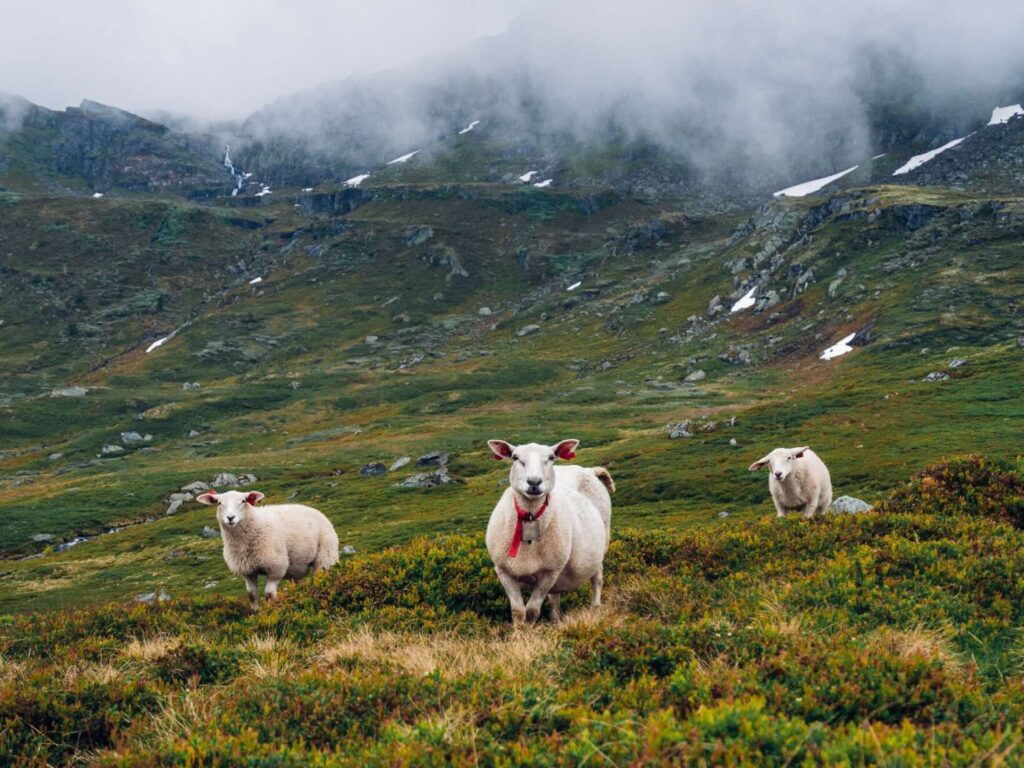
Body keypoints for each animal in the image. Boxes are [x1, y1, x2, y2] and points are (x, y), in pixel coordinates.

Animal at [197, 489, 342, 610]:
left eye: (243, 501)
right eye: (219, 503)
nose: (230, 518)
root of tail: (316, 510)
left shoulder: (275, 568)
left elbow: (269, 595)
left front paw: (271, 611)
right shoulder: (247, 571)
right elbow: (252, 595)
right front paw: (256, 614)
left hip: (325, 557)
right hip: (297, 567)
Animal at [483, 438, 610, 626]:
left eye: (551, 457)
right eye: (515, 457)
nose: (534, 482)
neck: (529, 516)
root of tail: (588, 470)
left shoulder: (550, 572)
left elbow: (532, 611)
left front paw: (529, 631)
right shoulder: (503, 571)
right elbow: (518, 612)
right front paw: (519, 632)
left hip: (601, 547)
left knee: (597, 579)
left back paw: (596, 608)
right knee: (555, 595)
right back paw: (556, 619)